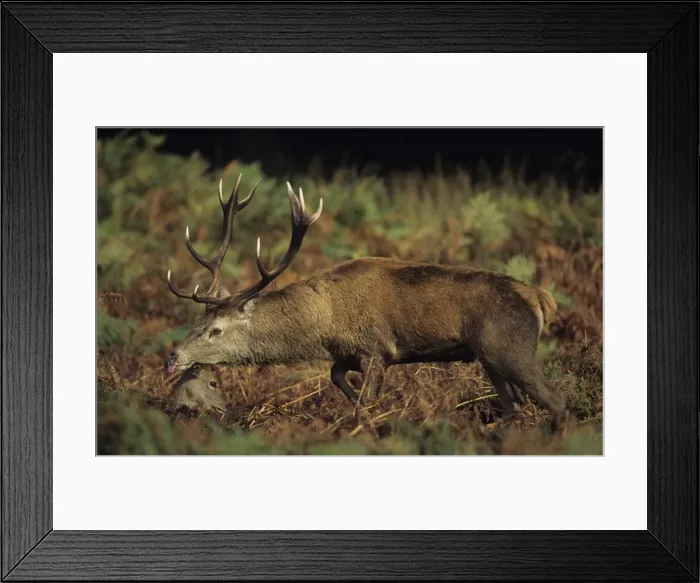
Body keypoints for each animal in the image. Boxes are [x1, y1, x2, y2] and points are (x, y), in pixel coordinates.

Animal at [165, 175, 569, 430]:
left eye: (216, 331)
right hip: (490, 358)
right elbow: (336, 376)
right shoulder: (348, 352)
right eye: (197, 323)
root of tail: (540, 297)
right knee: (514, 405)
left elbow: (363, 403)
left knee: (555, 400)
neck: (325, 322)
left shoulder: (376, 350)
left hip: (512, 348)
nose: (173, 356)